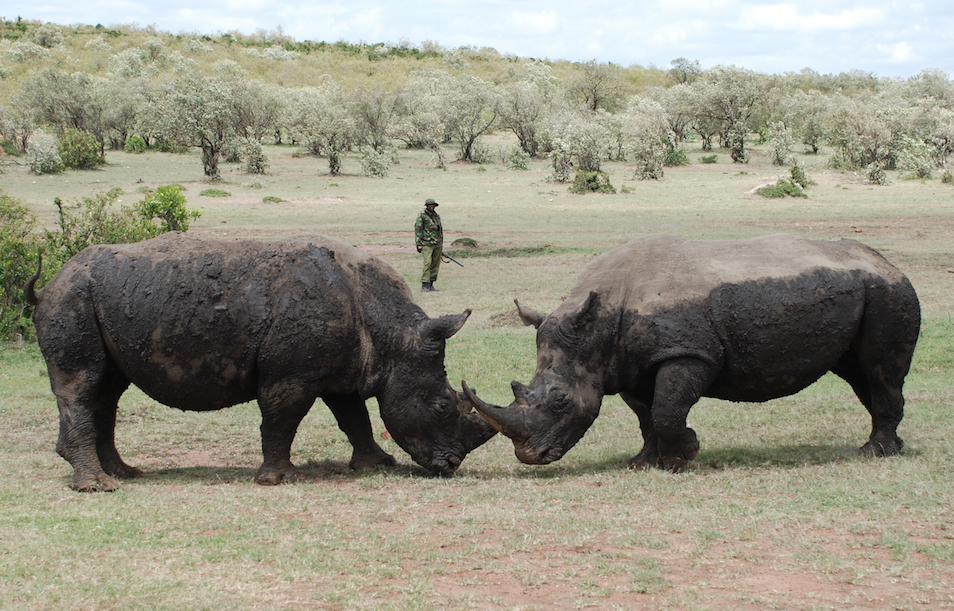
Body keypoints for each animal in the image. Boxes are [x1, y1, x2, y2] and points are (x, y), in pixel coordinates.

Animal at [26, 232, 496, 491]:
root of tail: (49, 282)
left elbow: (354, 417)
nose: (451, 465)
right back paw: (98, 487)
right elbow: (281, 418)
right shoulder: (293, 373)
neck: (392, 336)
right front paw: (277, 479)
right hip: (72, 298)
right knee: (83, 384)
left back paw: (125, 473)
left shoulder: (342, 369)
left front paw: (376, 464)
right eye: (442, 406)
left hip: (93, 298)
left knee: (108, 388)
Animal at [465, 234, 921, 471]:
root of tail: (887, 261)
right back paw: (886, 449)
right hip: (867, 290)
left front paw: (687, 454)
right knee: (859, 374)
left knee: (879, 372)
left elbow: (667, 409)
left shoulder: (688, 352)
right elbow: (646, 415)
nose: (530, 457)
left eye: (560, 401)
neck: (597, 327)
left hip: (888, 292)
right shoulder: (629, 364)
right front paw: (644, 463)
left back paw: (875, 454)